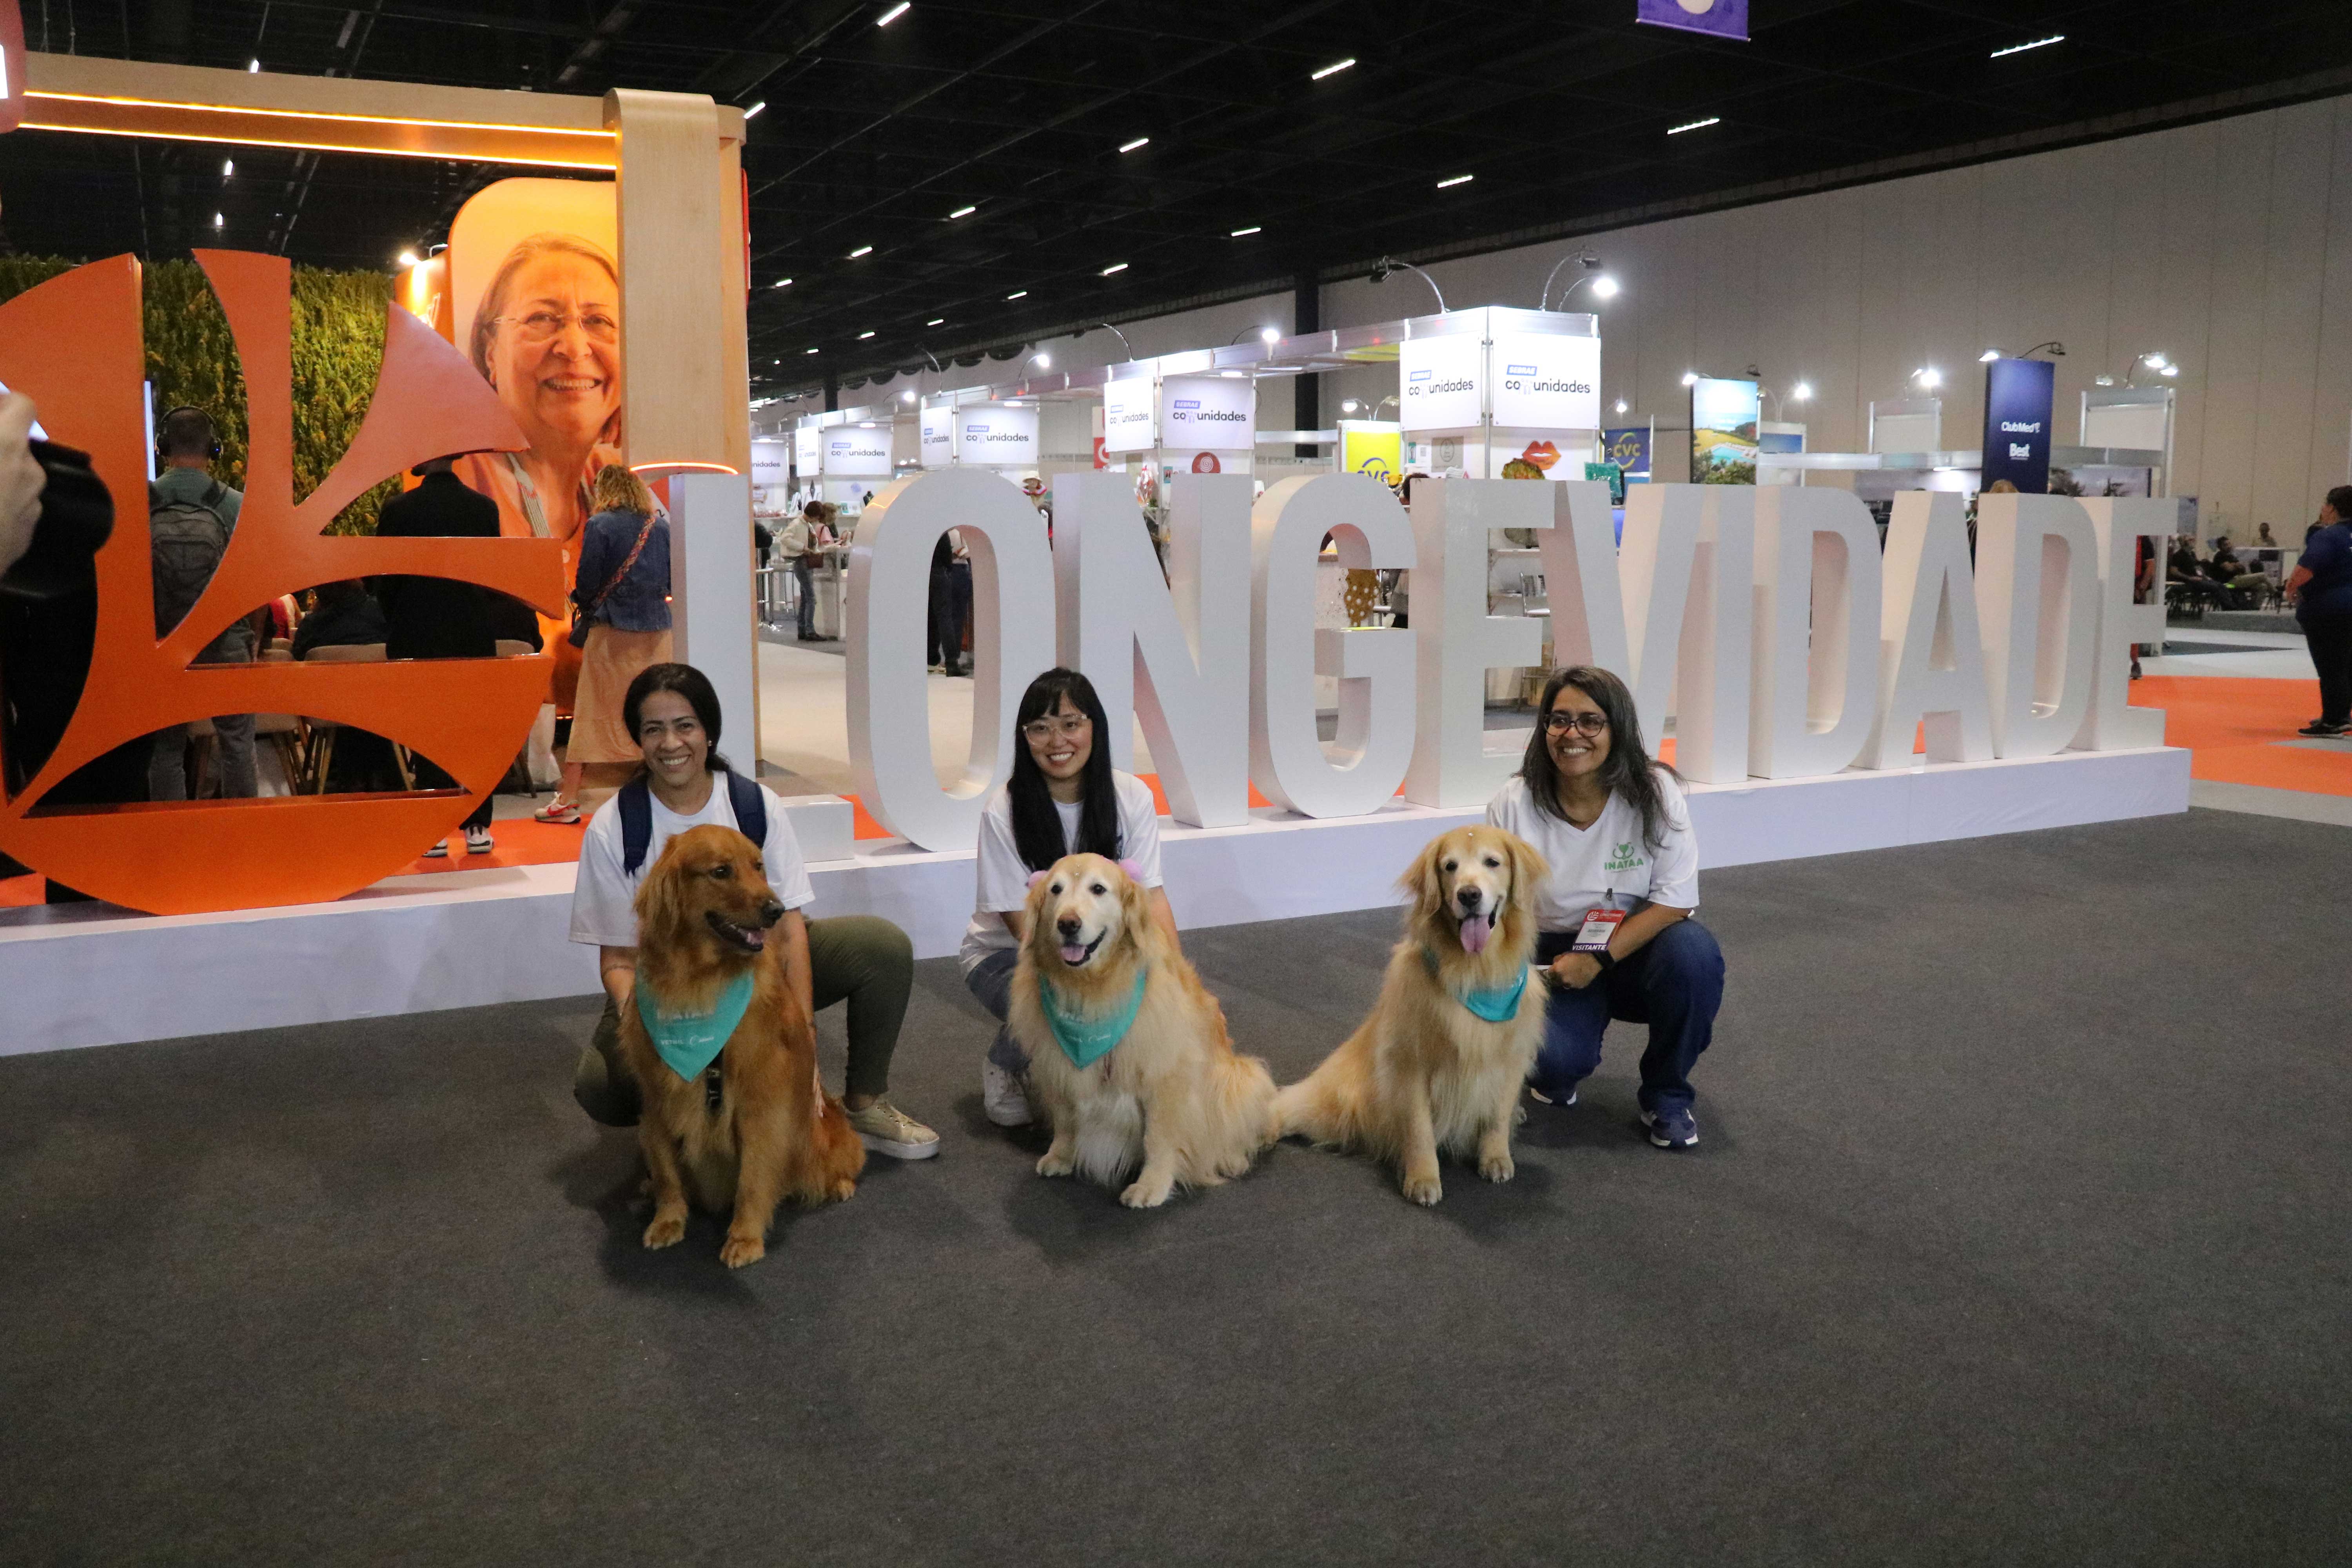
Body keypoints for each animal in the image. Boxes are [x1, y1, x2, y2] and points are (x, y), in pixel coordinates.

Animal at [616, 827, 866, 1269]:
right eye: (721, 871)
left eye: (759, 866)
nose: (777, 909)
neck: (697, 982)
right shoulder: (658, 1100)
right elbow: (666, 1172)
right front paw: (668, 1220)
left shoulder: (761, 1106)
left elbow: (753, 1178)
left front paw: (745, 1238)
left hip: (822, 1138)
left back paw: (839, 1184)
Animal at [1002, 851, 1279, 1213]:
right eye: (1055, 890)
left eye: (1098, 889)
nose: (1068, 924)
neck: (1092, 991)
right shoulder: (1056, 1066)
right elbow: (1065, 1118)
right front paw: (1060, 1155)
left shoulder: (1166, 1075)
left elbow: (1158, 1138)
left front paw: (1151, 1186)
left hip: (1239, 1076)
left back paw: (1234, 1157)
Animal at [1279, 827, 1552, 1213]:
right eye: (1450, 866)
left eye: (1492, 862)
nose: (1469, 895)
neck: (1473, 974)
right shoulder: (1411, 1065)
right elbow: (1420, 1129)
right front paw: (1423, 1179)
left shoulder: (1510, 1058)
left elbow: (1497, 1118)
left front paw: (1496, 1158)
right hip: (1340, 1101)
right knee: (1290, 1104)